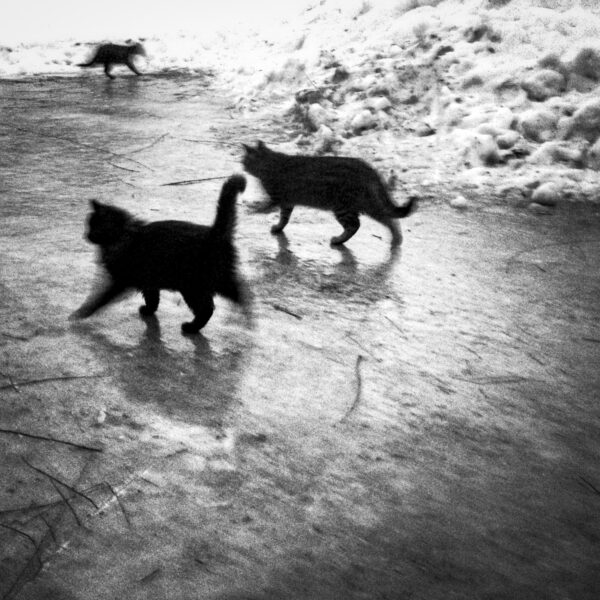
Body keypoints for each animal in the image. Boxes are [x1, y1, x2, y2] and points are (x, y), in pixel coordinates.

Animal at [71, 173, 248, 336]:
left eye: (96, 227)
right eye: (88, 224)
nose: (86, 235)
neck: (122, 236)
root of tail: (215, 232)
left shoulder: (121, 280)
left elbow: (101, 297)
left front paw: (84, 312)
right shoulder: (149, 280)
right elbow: (152, 298)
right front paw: (149, 310)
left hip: (193, 286)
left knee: (211, 307)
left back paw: (196, 327)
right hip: (212, 282)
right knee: (237, 292)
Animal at [241, 142, 414, 247]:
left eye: (244, 161)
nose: (242, 167)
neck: (271, 162)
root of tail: (367, 168)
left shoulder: (277, 198)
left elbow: (265, 207)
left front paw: (253, 211)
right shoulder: (287, 202)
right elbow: (284, 218)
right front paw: (278, 227)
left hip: (346, 206)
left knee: (359, 225)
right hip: (362, 204)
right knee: (387, 219)